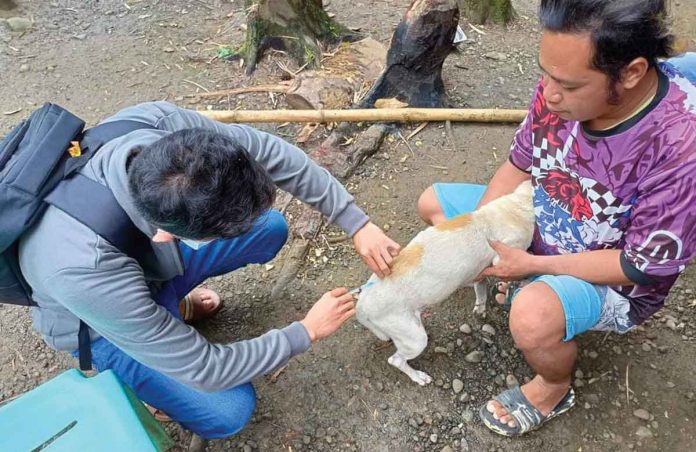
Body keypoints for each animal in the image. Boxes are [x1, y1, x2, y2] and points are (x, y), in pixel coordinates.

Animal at [356, 180, 536, 384]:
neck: (516, 206)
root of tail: (361, 305)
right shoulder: (505, 257)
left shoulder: (480, 272)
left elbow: (481, 290)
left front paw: (481, 307)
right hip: (415, 339)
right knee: (396, 360)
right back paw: (418, 376)